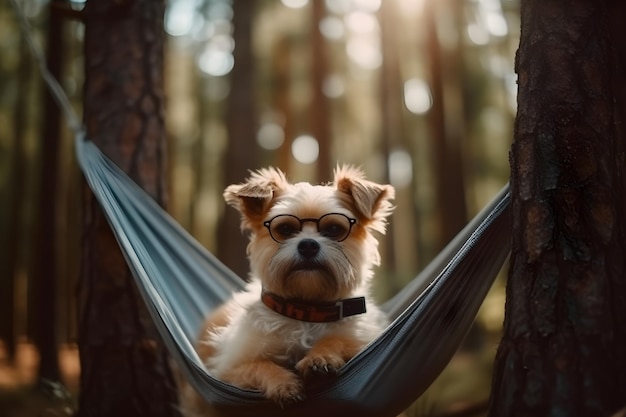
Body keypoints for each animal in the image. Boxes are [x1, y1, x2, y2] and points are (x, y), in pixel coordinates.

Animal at [180, 166, 392, 412]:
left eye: (333, 229)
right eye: (285, 228)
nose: (308, 244)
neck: (305, 311)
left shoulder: (362, 339)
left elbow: (338, 340)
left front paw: (320, 357)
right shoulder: (227, 371)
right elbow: (260, 365)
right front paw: (283, 384)